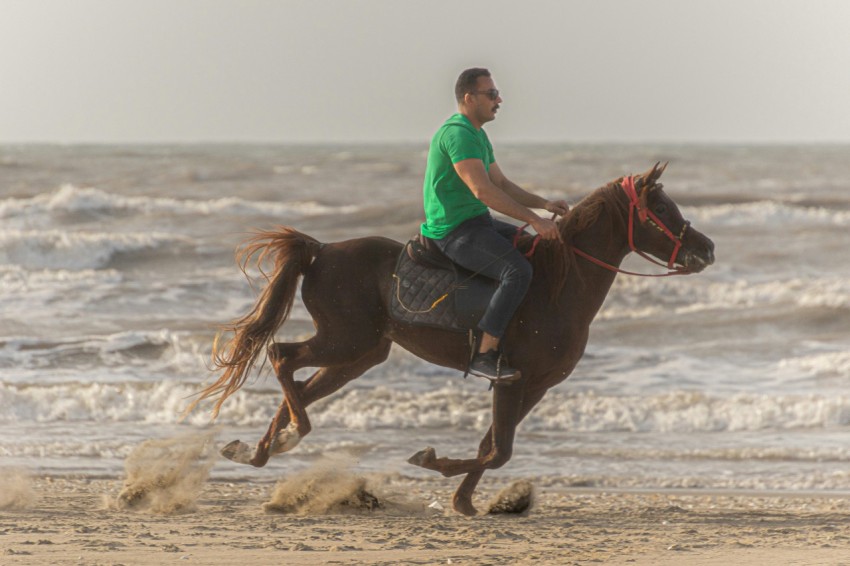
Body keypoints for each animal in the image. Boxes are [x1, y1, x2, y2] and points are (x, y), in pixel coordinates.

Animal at [190, 162, 708, 516]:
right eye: (661, 208)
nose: (707, 248)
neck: (559, 283)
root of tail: (321, 251)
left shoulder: (534, 385)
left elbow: (489, 447)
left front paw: (463, 501)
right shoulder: (510, 379)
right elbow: (498, 450)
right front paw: (433, 462)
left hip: (360, 354)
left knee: (298, 382)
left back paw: (262, 449)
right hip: (344, 341)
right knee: (283, 357)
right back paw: (290, 436)